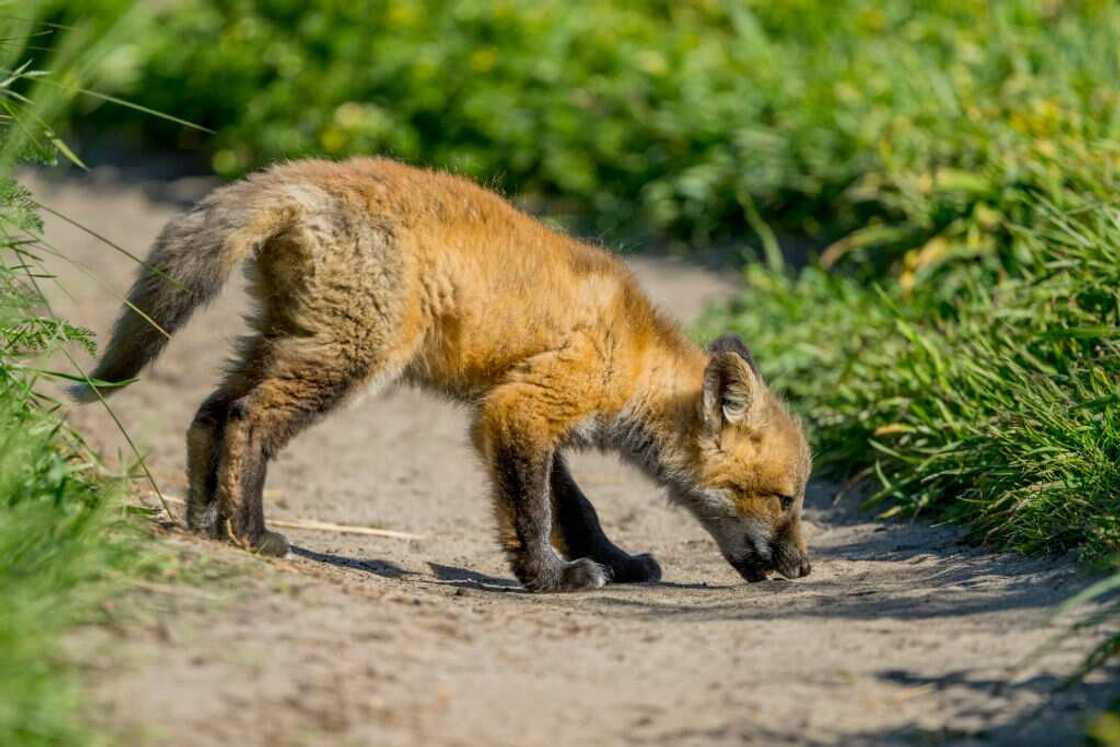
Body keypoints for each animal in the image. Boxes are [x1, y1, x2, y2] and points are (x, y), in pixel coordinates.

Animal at [76, 161, 815, 591]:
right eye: (786, 499)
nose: (804, 566)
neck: (631, 357)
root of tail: (307, 175)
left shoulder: (522, 409)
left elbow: (575, 507)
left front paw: (618, 560)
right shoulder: (522, 408)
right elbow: (532, 511)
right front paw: (549, 577)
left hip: (291, 340)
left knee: (210, 410)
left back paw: (205, 522)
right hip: (349, 360)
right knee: (247, 418)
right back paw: (252, 534)